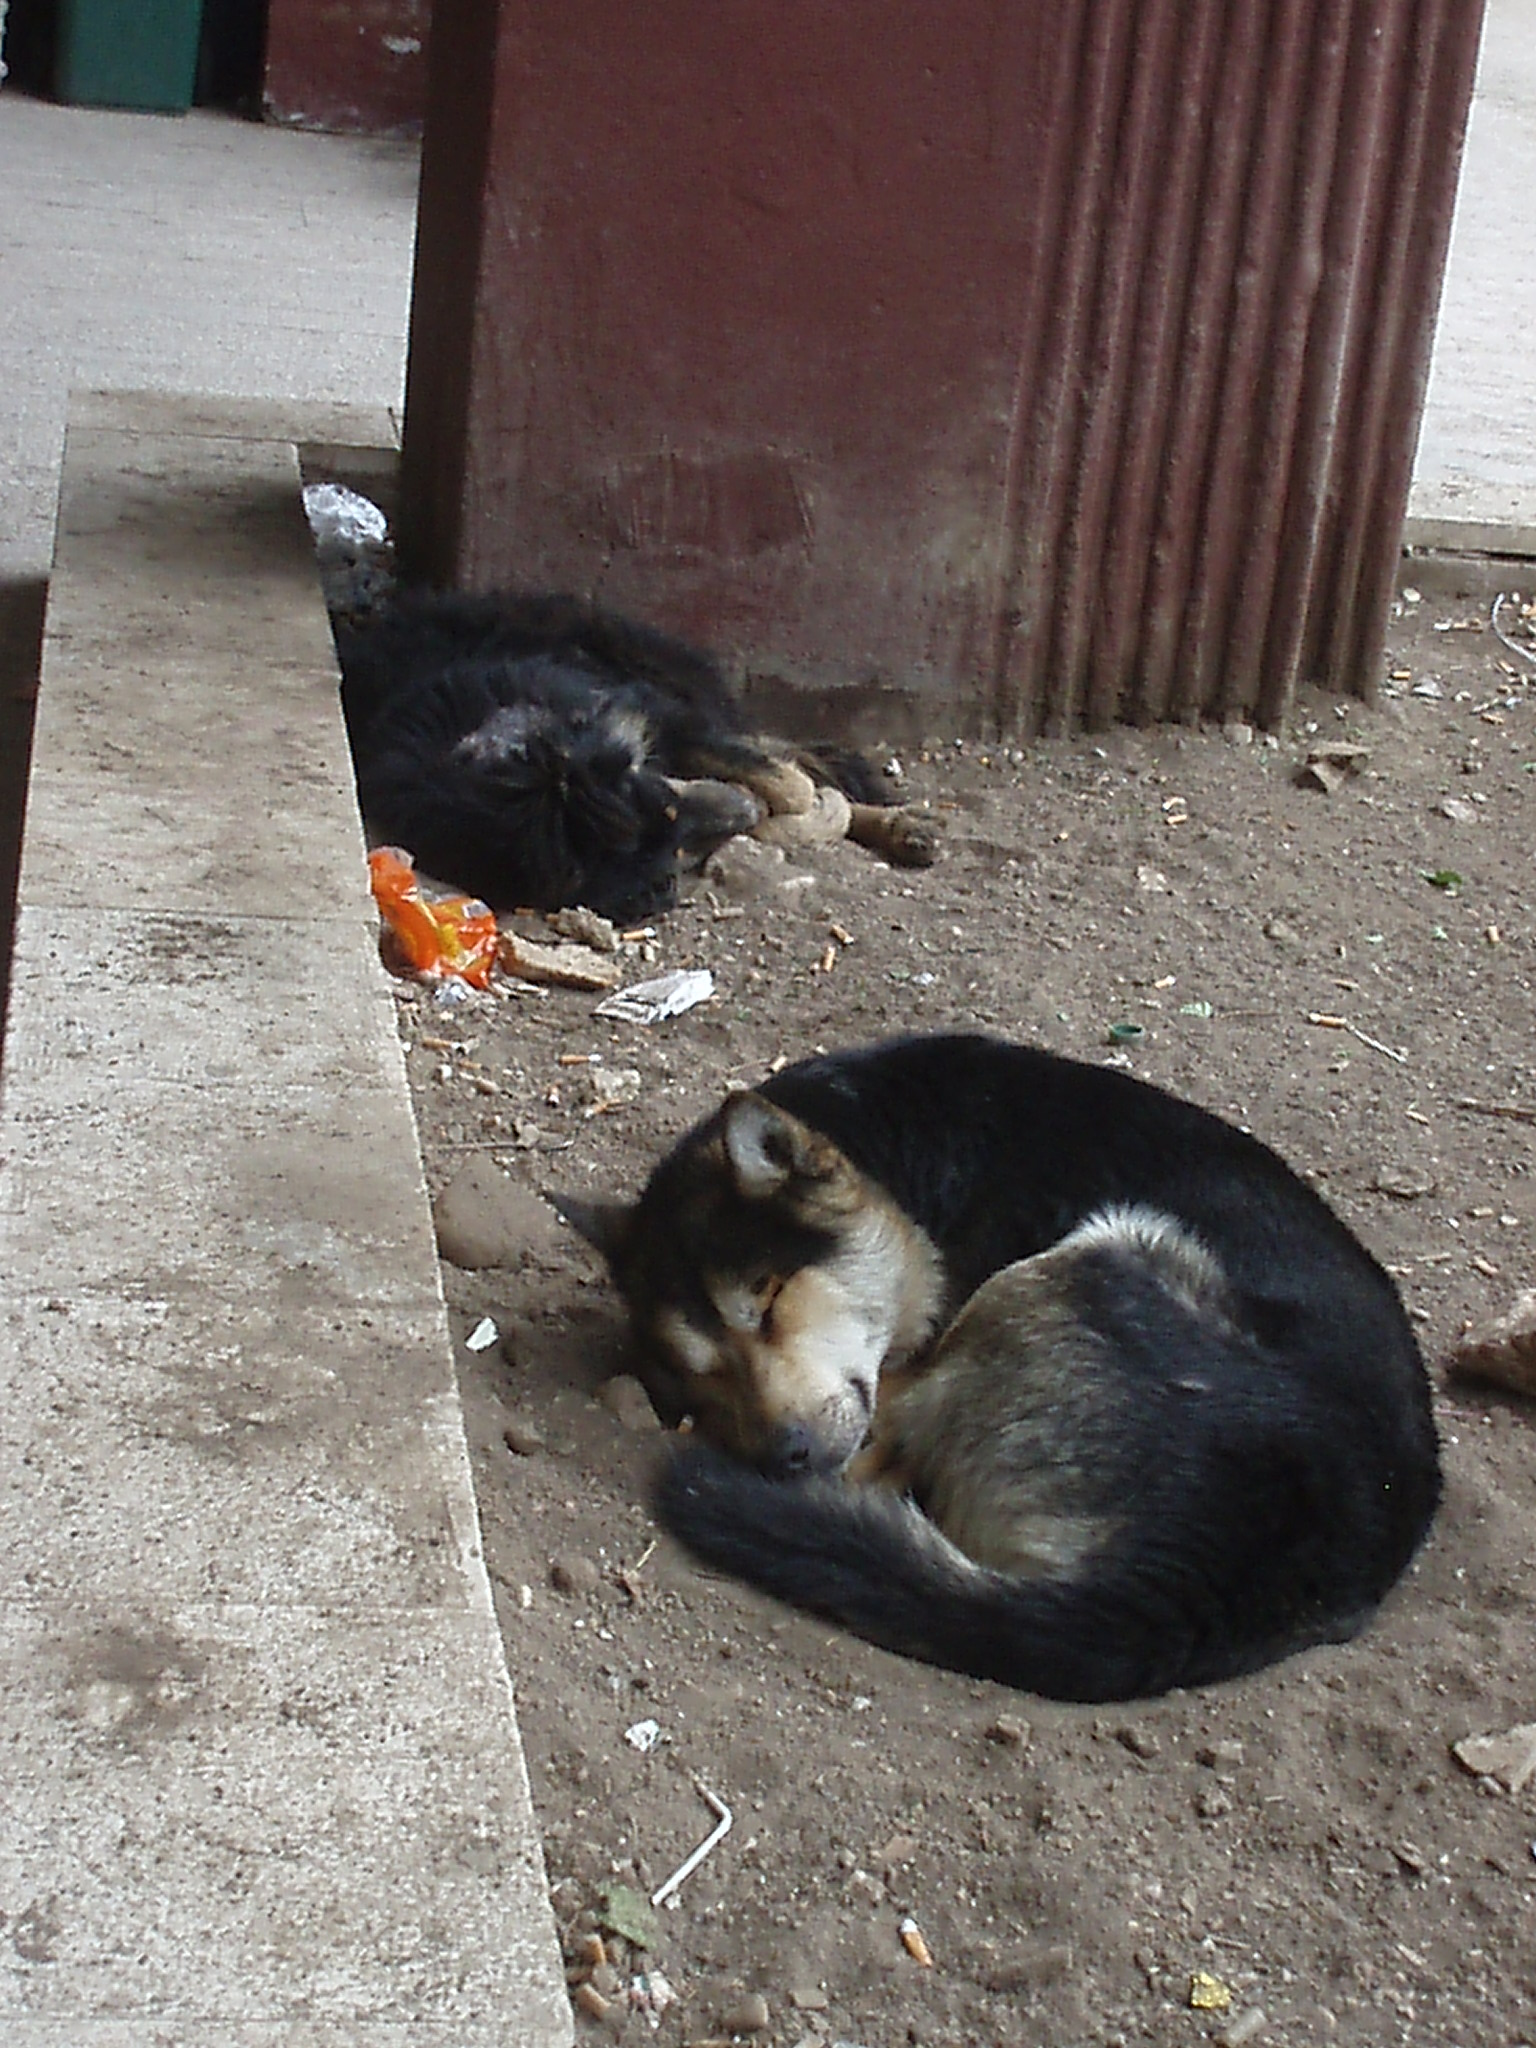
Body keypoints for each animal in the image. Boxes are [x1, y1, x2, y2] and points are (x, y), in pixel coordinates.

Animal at [336, 589, 924, 923]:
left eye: (663, 798)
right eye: (677, 850)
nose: (744, 813)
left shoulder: (658, 716)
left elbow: (791, 782)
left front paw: (809, 810)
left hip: (659, 672)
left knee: (785, 751)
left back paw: (898, 824)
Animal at [562, 1032, 1442, 1702]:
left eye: (772, 1299)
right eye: (702, 1373)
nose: (785, 1458)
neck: (896, 1165)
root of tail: (1201, 1581)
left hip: (1085, 1260)